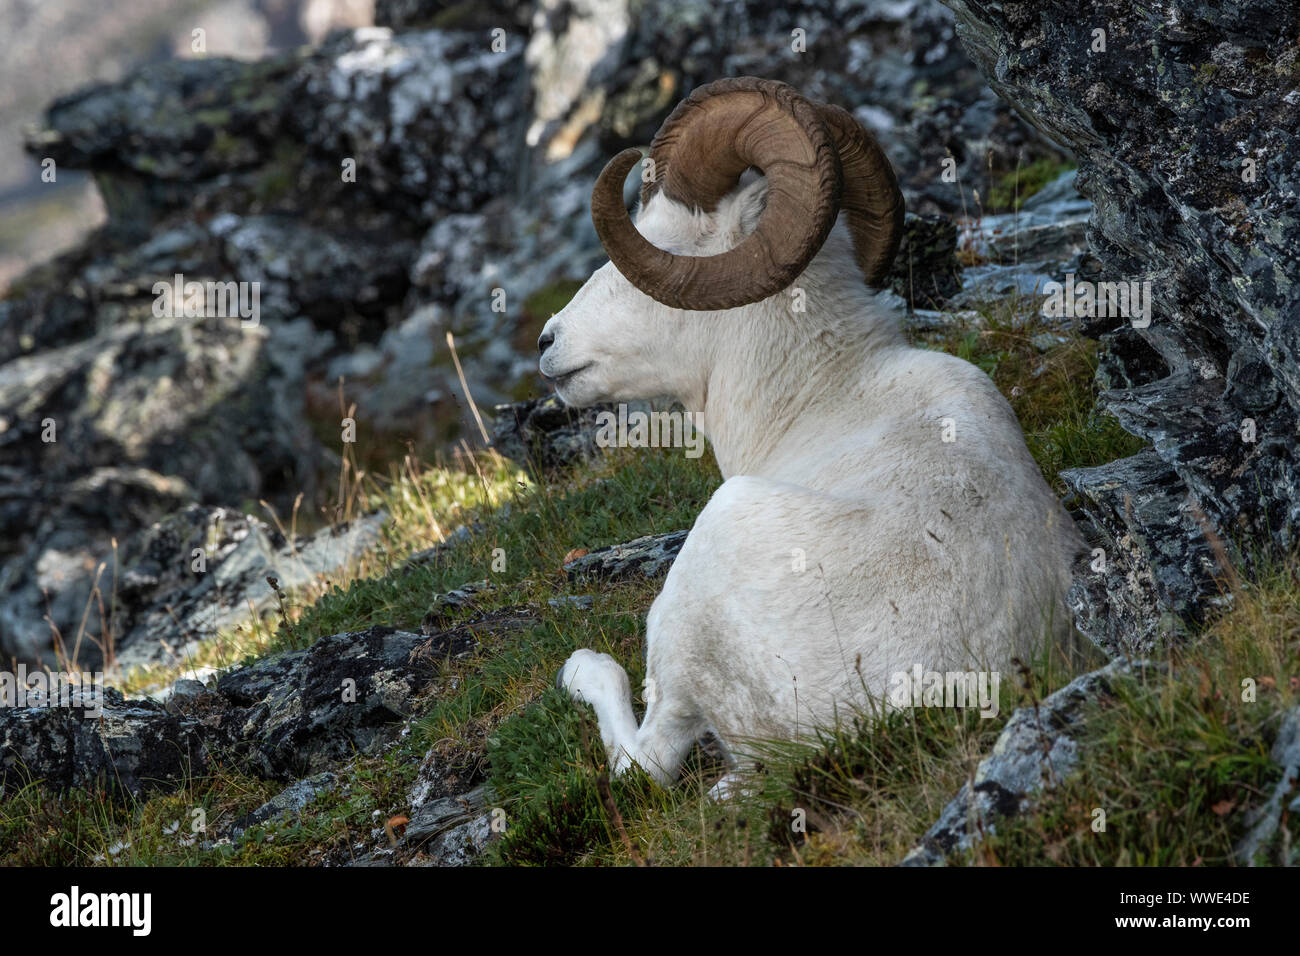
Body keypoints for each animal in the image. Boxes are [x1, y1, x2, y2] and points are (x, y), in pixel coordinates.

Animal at [537, 77, 1084, 787]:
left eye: (658, 241)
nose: (549, 343)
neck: (823, 395)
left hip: (705, 567)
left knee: (643, 761)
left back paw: (583, 669)